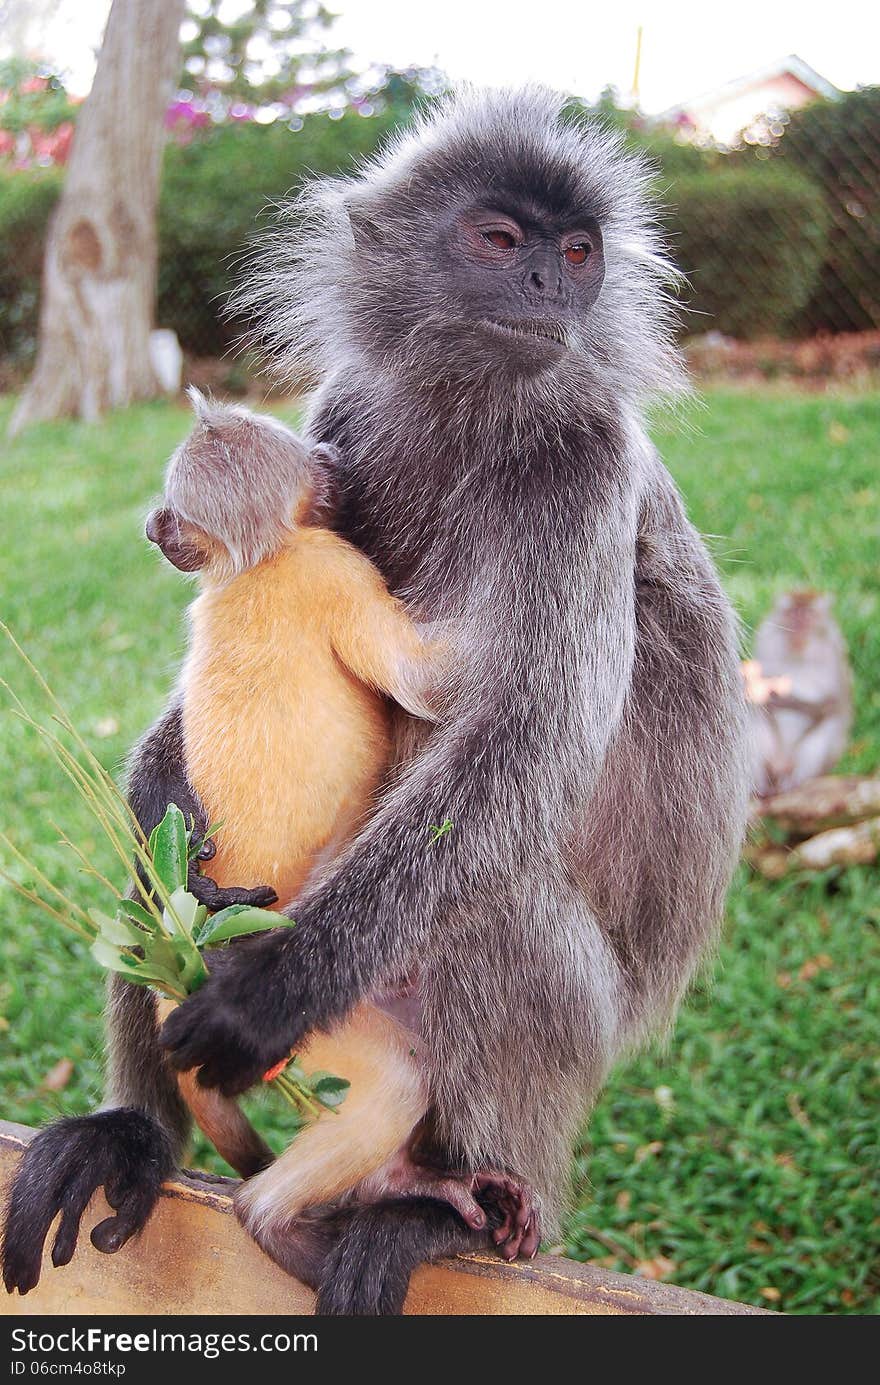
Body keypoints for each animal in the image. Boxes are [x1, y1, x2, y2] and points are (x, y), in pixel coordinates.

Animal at [3, 92, 753, 1312]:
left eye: (577, 253)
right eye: (500, 239)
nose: (548, 285)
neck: (469, 408)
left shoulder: (585, 465)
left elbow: (524, 730)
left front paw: (273, 985)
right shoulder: (348, 414)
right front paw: (170, 817)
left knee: (494, 896)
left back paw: (441, 1204)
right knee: (141, 882)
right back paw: (136, 1129)